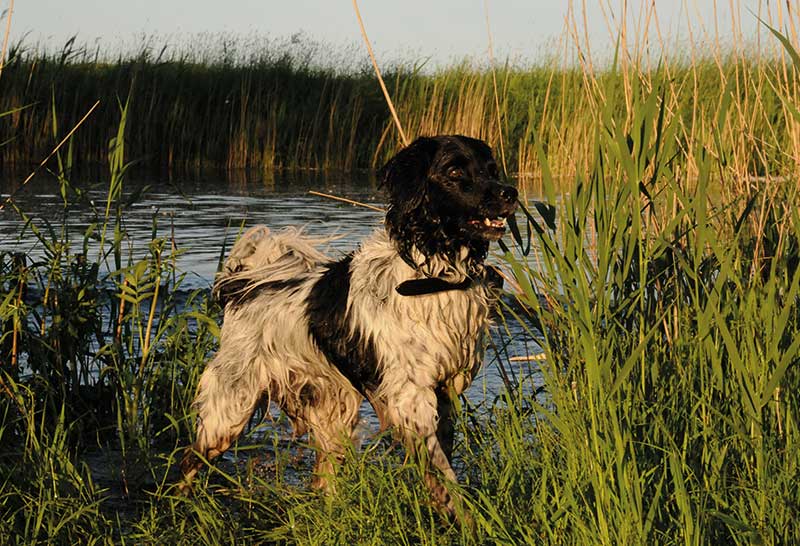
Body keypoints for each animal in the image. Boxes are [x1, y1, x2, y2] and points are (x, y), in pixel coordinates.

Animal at [180, 133, 520, 516]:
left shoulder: (445, 392)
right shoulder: (411, 397)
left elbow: (440, 466)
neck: (435, 275)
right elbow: (444, 475)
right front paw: (467, 518)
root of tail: (243, 288)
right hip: (229, 409)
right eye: (455, 171)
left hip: (332, 410)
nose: (510, 193)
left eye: (491, 169)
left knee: (323, 475)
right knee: (190, 460)